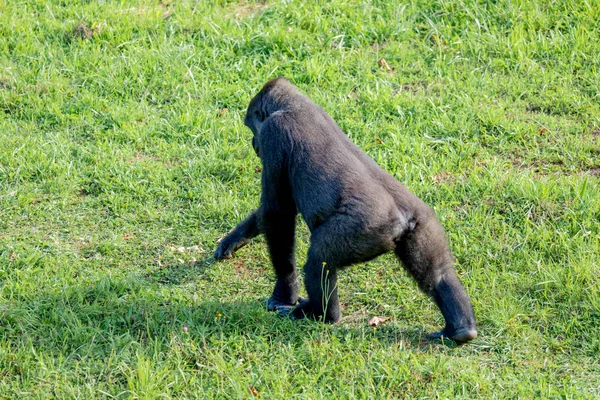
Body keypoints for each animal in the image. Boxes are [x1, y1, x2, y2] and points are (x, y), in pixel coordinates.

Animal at [213, 78, 476, 344]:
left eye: (252, 129)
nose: (253, 144)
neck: (293, 104)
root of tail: (402, 221)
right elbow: (272, 213)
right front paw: (234, 238)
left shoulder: (274, 135)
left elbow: (277, 213)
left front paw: (283, 295)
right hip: (422, 222)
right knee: (438, 274)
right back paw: (460, 328)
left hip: (365, 231)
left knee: (319, 259)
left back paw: (321, 314)